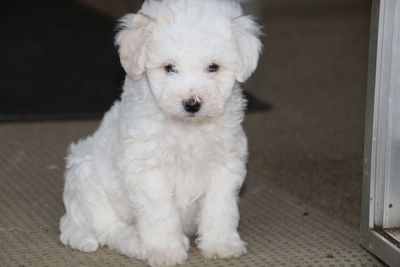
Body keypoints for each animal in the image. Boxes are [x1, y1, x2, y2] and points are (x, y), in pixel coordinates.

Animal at [58, 1, 260, 266]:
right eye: (169, 68)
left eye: (213, 67)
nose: (192, 104)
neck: (187, 128)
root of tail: (71, 218)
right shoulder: (148, 170)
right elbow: (159, 214)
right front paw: (165, 251)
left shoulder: (225, 165)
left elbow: (220, 208)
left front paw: (221, 244)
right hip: (86, 178)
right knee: (108, 229)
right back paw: (135, 243)